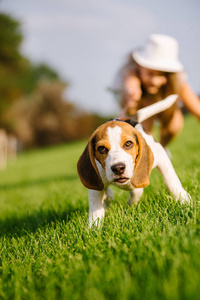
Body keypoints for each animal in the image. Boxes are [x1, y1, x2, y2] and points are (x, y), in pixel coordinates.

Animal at [77, 95, 191, 226]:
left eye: (128, 143)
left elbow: (171, 181)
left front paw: (185, 200)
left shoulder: (161, 157)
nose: (118, 168)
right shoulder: (96, 183)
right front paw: (94, 228)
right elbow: (95, 209)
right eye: (101, 148)